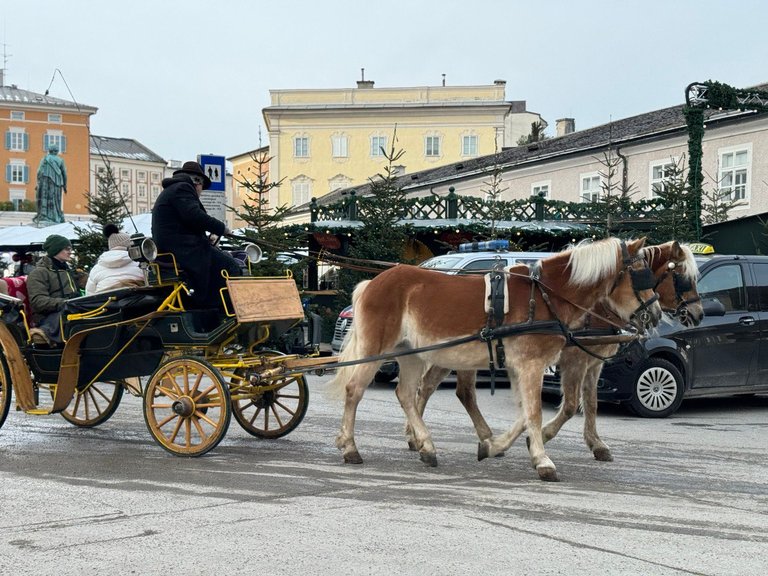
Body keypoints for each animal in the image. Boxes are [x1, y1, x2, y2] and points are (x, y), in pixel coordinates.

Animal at [328, 235, 660, 482]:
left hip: (412, 355)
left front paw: (493, 446)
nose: (655, 314)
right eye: (642, 274)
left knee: (407, 394)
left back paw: (426, 446)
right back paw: (350, 448)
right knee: (354, 391)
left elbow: (525, 414)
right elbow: (534, 413)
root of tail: (372, 283)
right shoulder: (532, 365)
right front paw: (543, 461)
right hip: (377, 349)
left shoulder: (518, 368)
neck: (546, 296)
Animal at [412, 241, 704, 466]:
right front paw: (540, 436)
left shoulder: (593, 362)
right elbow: (570, 404)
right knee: (453, 391)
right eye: (682, 277)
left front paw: (596, 444)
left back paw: (419, 437)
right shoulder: (574, 359)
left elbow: (591, 403)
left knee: (433, 388)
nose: (698, 314)